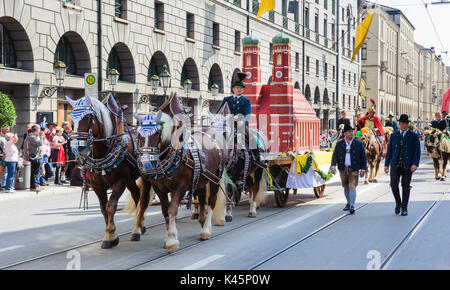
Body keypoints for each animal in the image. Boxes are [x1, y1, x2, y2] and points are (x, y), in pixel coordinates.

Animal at [66, 94, 147, 248]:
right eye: (71, 118)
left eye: (88, 117)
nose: (77, 148)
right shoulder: (97, 184)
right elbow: (103, 208)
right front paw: (109, 235)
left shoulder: (120, 182)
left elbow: (111, 206)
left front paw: (110, 235)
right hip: (130, 180)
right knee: (136, 195)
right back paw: (141, 225)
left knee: (143, 200)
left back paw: (137, 230)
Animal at [130, 94, 229, 253]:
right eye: (138, 135)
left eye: (157, 133)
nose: (146, 163)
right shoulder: (159, 188)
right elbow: (165, 211)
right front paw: (167, 238)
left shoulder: (181, 187)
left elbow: (172, 210)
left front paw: (171, 240)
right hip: (201, 180)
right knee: (202, 199)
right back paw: (202, 221)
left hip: (215, 178)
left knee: (211, 201)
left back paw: (206, 229)